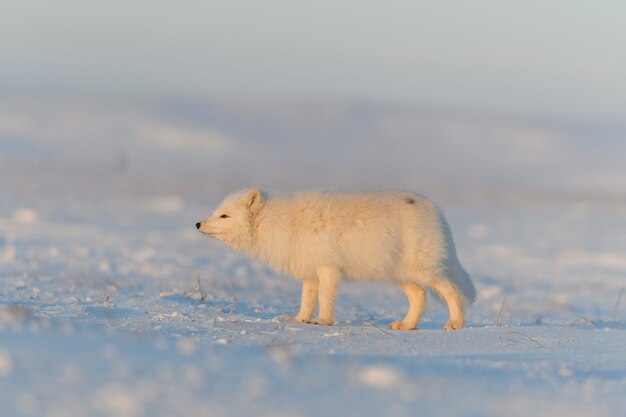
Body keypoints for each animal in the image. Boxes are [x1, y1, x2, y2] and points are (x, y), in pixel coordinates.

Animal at [197, 188, 476, 328]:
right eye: (216, 211)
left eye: (224, 216)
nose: (198, 223)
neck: (281, 223)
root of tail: (436, 211)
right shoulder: (309, 271)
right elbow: (307, 300)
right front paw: (300, 320)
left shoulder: (327, 267)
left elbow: (325, 298)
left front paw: (324, 321)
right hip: (398, 274)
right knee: (420, 296)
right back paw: (407, 326)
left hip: (422, 270)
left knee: (451, 291)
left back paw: (456, 323)